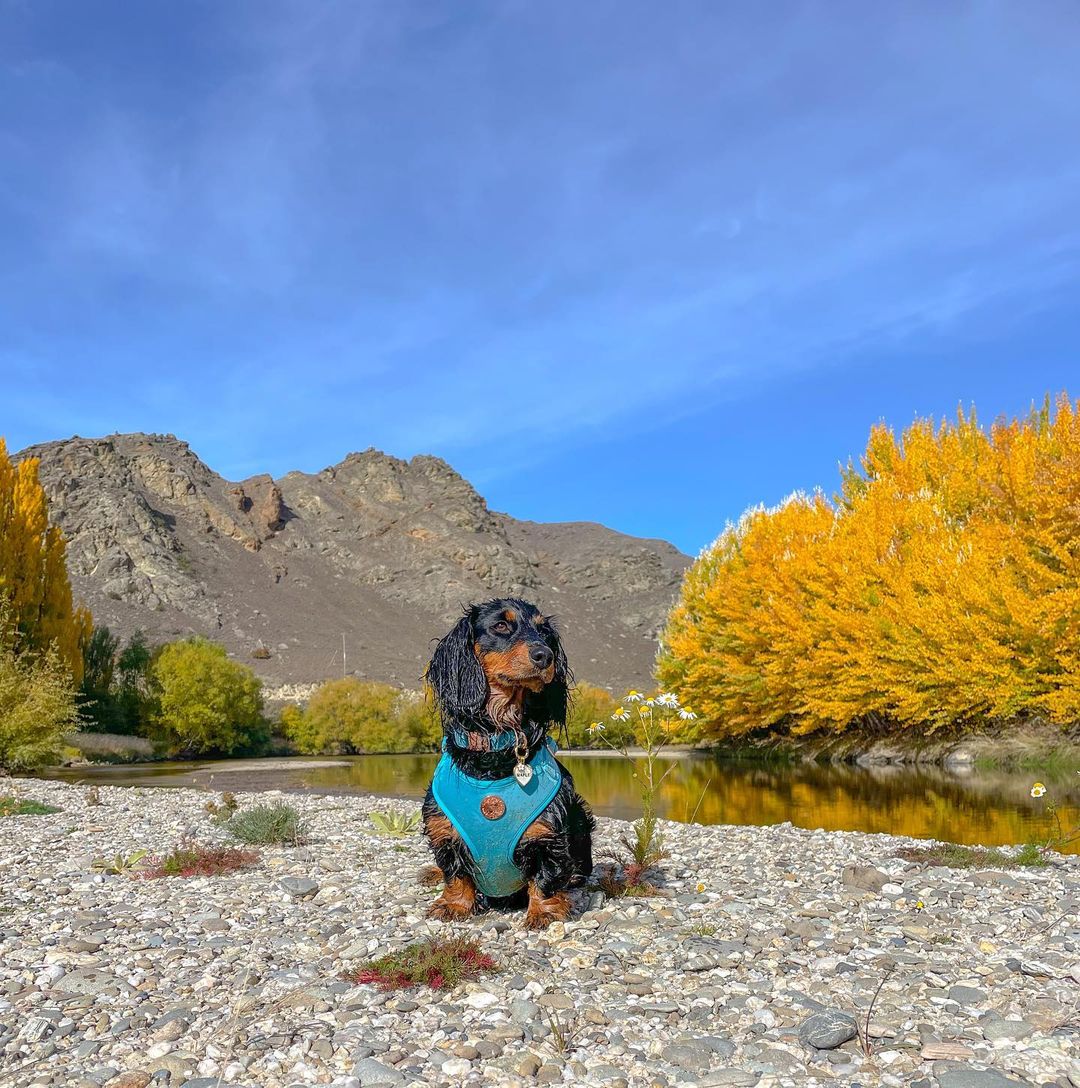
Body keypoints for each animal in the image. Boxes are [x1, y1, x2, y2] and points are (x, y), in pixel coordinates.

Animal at [421, 600, 596, 931]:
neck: (498, 743)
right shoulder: (443, 829)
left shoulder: (549, 832)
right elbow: (454, 871)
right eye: (501, 626)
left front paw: (544, 911)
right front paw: (454, 905)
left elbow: (547, 876)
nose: (544, 655)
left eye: (544, 631)